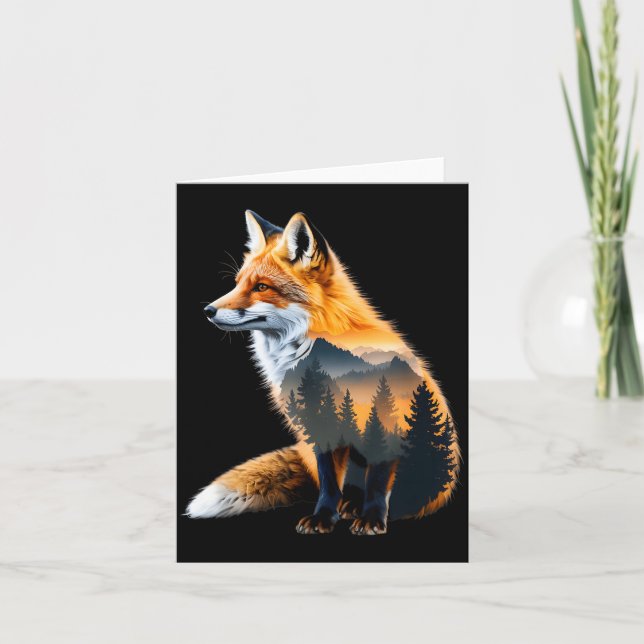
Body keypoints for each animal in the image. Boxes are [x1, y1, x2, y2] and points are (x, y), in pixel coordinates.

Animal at [186, 210, 460, 535]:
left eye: (261, 287)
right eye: (237, 283)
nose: (208, 311)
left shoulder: (387, 419)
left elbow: (378, 482)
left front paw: (372, 518)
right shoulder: (320, 425)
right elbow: (330, 483)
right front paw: (323, 518)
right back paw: (349, 506)